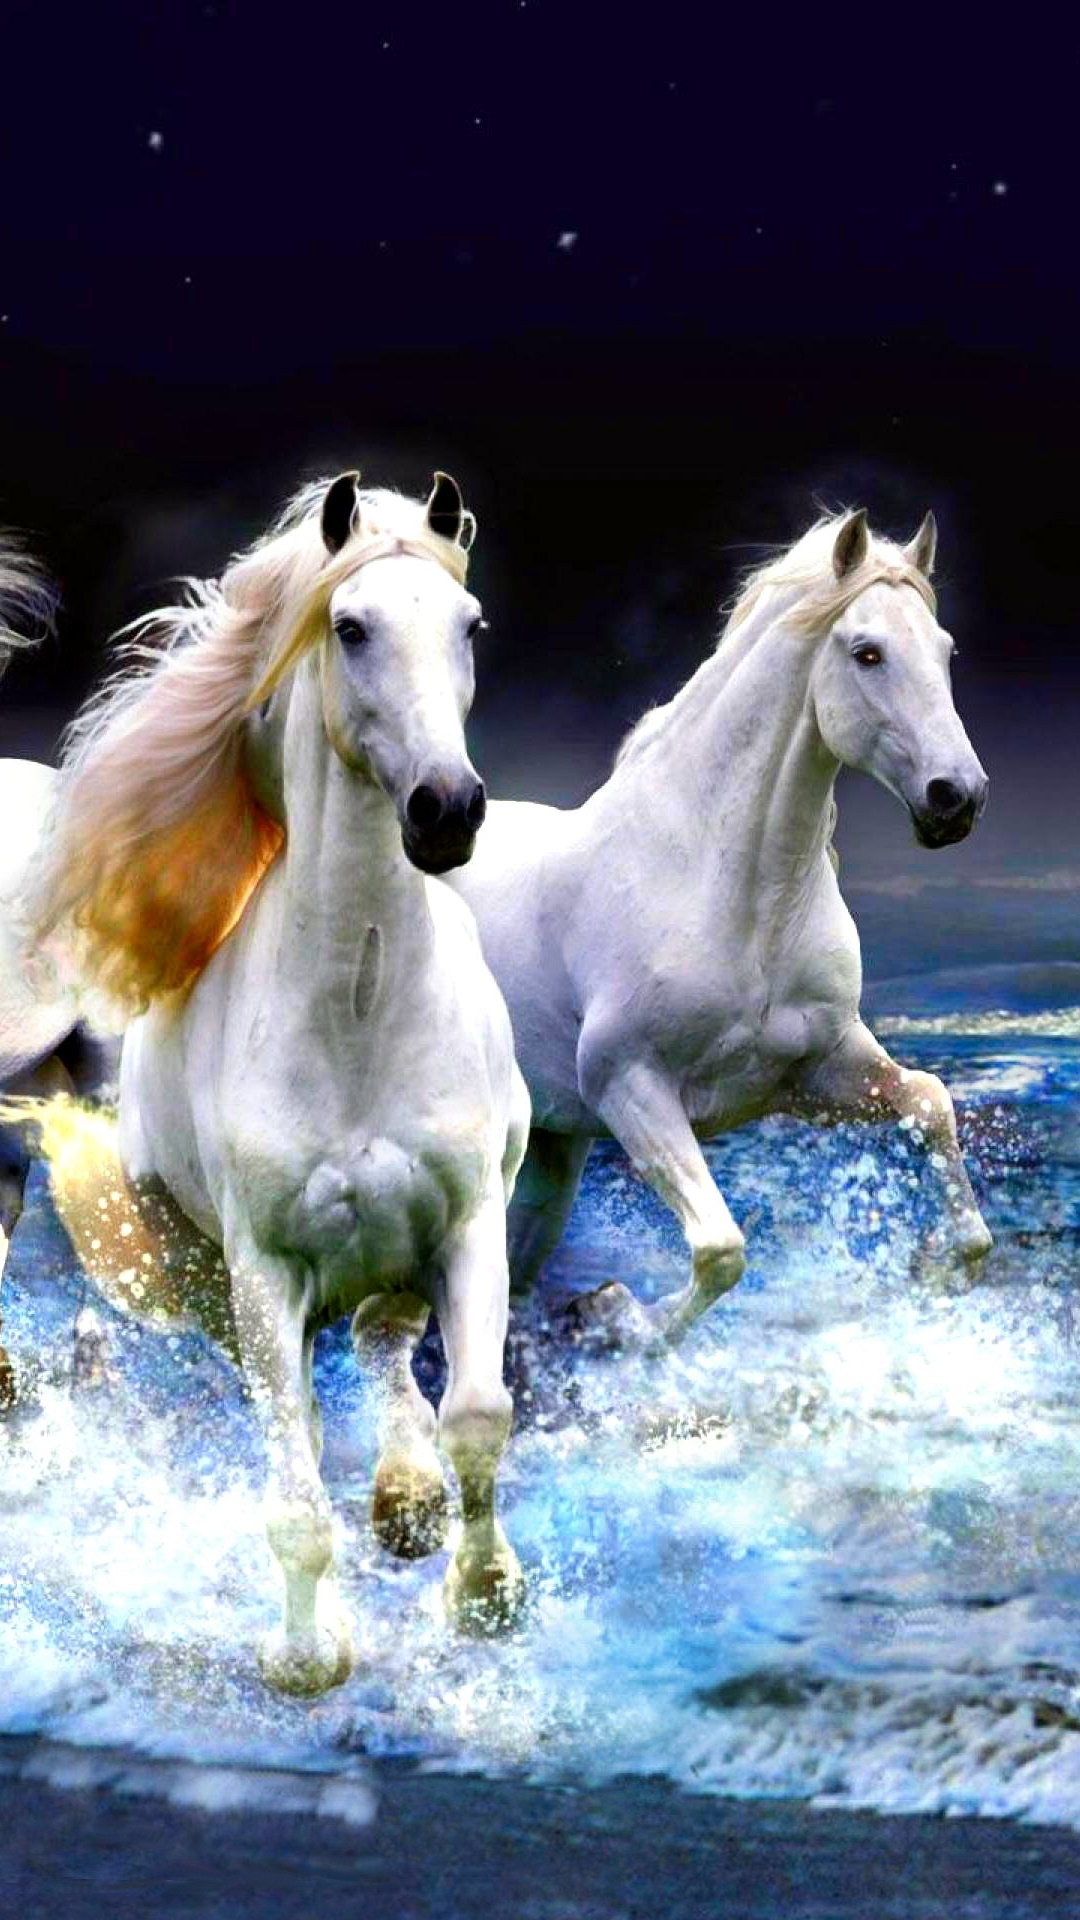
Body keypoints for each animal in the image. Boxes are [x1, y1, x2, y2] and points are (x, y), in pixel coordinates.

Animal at [15, 471, 531, 1695]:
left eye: (469, 627)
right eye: (350, 628)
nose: (448, 809)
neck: (361, 1011)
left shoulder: (467, 1223)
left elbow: (477, 1413)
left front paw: (486, 1594)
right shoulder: (265, 1273)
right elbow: (293, 1492)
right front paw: (307, 1656)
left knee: (387, 1343)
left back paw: (408, 1502)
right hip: (212, 1281)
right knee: (303, 1395)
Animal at [449, 508, 992, 1348]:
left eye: (944, 650)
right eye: (867, 652)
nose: (956, 798)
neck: (731, 897)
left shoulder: (818, 1071)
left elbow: (931, 1102)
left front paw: (936, 1265)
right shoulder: (630, 1087)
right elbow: (720, 1249)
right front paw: (618, 1316)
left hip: (550, 1149)